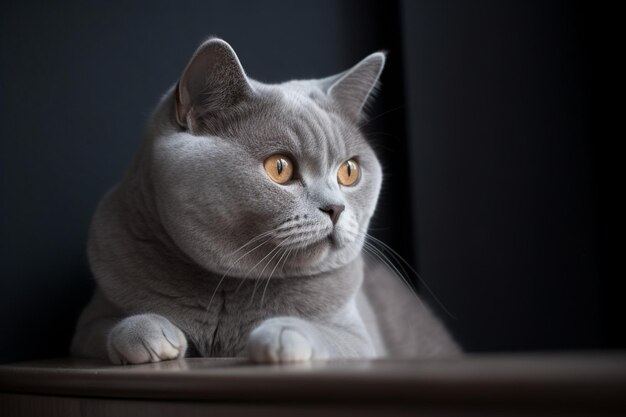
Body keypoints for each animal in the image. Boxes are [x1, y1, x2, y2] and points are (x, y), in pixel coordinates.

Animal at [70, 39, 458, 364]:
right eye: (280, 167)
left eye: (349, 171)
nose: (336, 208)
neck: (228, 288)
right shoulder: (86, 324)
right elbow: (102, 329)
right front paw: (150, 333)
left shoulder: (360, 338)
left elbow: (329, 336)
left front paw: (282, 332)